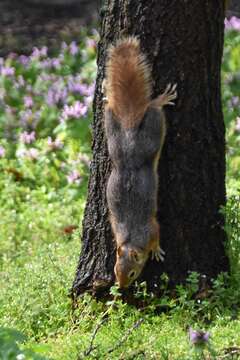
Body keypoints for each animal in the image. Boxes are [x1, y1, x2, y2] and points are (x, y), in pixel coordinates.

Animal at [102, 38, 176, 288]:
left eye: (133, 273)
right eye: (116, 271)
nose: (121, 287)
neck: (132, 239)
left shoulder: (151, 228)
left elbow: (157, 234)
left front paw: (156, 251)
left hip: (152, 131)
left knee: (153, 109)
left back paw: (161, 99)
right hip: (113, 133)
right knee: (111, 110)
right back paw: (107, 94)